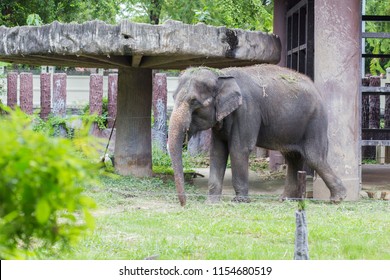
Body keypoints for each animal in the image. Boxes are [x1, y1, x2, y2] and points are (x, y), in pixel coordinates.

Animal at [168, 64, 348, 207]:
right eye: (173, 97)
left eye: (194, 102)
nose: (184, 204)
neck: (221, 74)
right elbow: (218, 152)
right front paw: (211, 203)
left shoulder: (247, 110)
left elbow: (239, 149)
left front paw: (239, 202)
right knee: (293, 157)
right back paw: (286, 200)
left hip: (315, 121)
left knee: (314, 157)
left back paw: (337, 199)